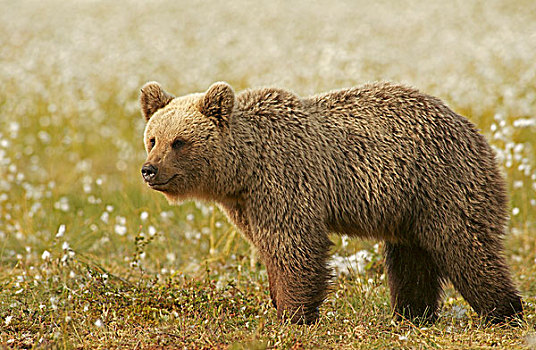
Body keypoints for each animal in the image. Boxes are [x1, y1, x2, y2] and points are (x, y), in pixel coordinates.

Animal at [138, 80, 524, 324]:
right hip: (408, 206)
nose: (149, 170)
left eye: (179, 142)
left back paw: (503, 312)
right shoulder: (247, 204)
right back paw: (411, 315)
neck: (244, 168)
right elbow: (269, 250)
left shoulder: (286, 181)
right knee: (411, 261)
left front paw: (294, 316)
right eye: (153, 138)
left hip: (443, 184)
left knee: (466, 248)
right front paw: (280, 304)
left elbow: (294, 247)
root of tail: (473, 130)